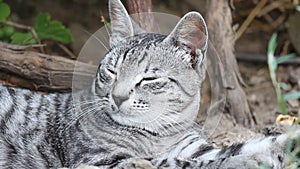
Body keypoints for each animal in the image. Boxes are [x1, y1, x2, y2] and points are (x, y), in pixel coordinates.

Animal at [0, 0, 298, 169]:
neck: (159, 132)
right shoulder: (100, 159)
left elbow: (249, 144)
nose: (117, 97)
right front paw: (245, 161)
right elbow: (181, 163)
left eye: (149, 79)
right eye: (111, 71)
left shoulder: (194, 146)